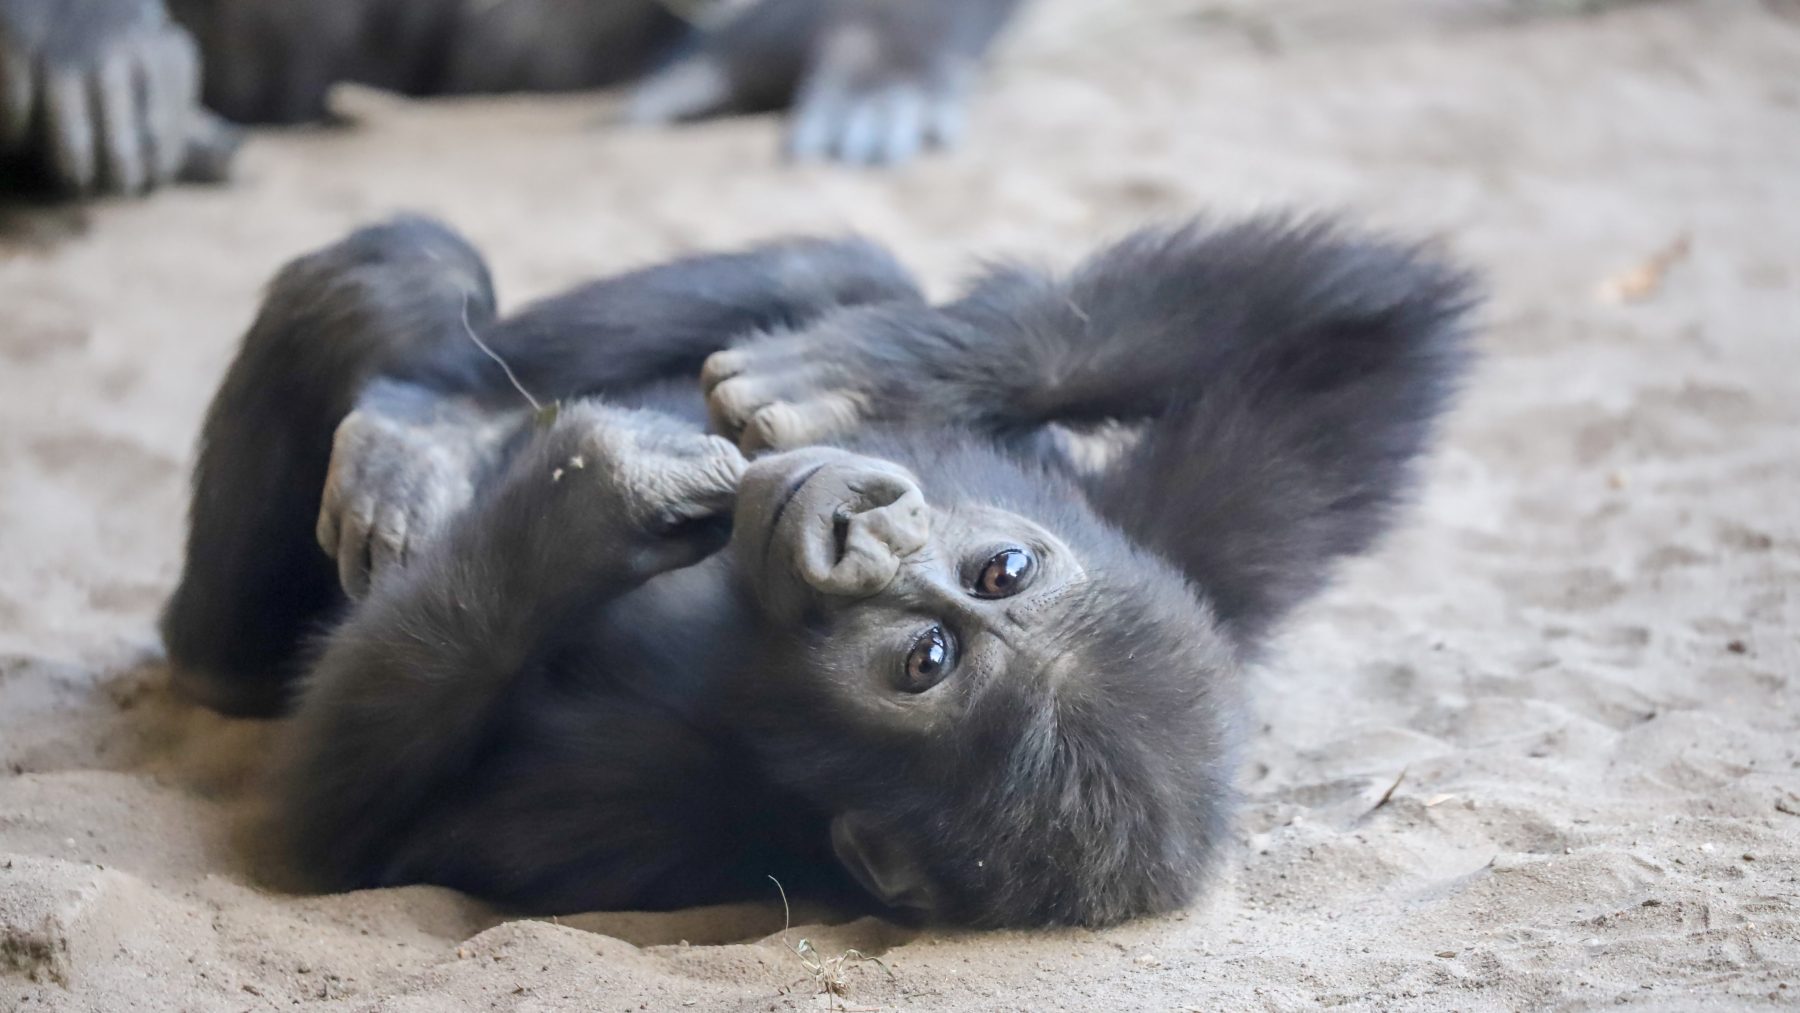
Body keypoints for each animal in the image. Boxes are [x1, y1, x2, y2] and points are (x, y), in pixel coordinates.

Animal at [160, 213, 1476, 927]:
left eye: (924, 660)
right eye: (1003, 568)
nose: (861, 538)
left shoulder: (636, 801)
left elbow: (344, 830)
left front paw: (593, 502)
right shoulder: (1175, 538)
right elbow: (1374, 327)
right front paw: (861, 366)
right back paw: (431, 411)